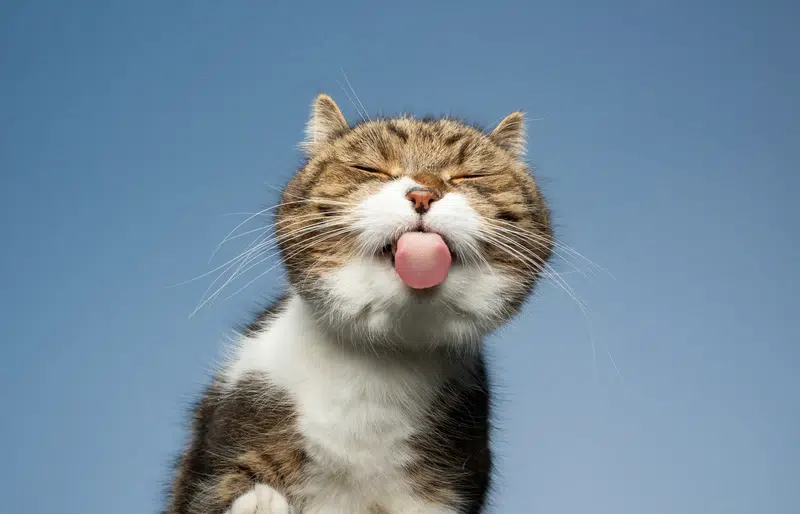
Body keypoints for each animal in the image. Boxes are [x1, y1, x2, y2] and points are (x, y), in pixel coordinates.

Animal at [162, 93, 552, 512]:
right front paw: (261, 500)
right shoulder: (229, 431)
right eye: (370, 169)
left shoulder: (449, 483)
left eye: (469, 176)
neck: (378, 362)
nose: (422, 193)